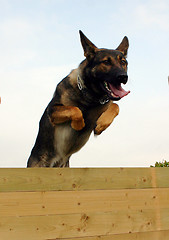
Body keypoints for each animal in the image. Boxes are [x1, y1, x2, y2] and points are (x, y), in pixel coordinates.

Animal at [27, 31, 129, 167]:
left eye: (123, 62)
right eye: (106, 62)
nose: (123, 77)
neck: (90, 98)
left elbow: (115, 106)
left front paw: (101, 125)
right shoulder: (52, 110)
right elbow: (75, 109)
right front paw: (78, 124)